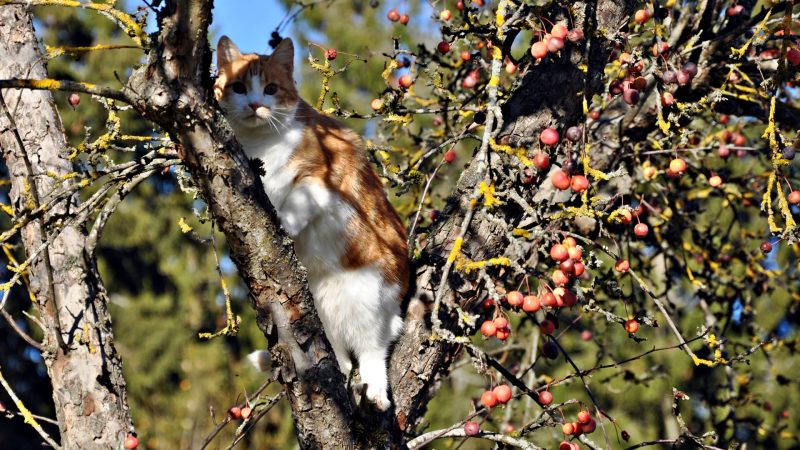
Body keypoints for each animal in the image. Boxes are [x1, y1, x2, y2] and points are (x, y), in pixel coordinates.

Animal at [214, 36, 410, 412]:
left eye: (271, 89)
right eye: (239, 87)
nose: (256, 104)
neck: (260, 144)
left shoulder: (323, 173)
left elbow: (298, 200)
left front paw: (283, 223)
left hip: (369, 296)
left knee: (372, 350)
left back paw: (376, 392)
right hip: (321, 307)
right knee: (340, 357)